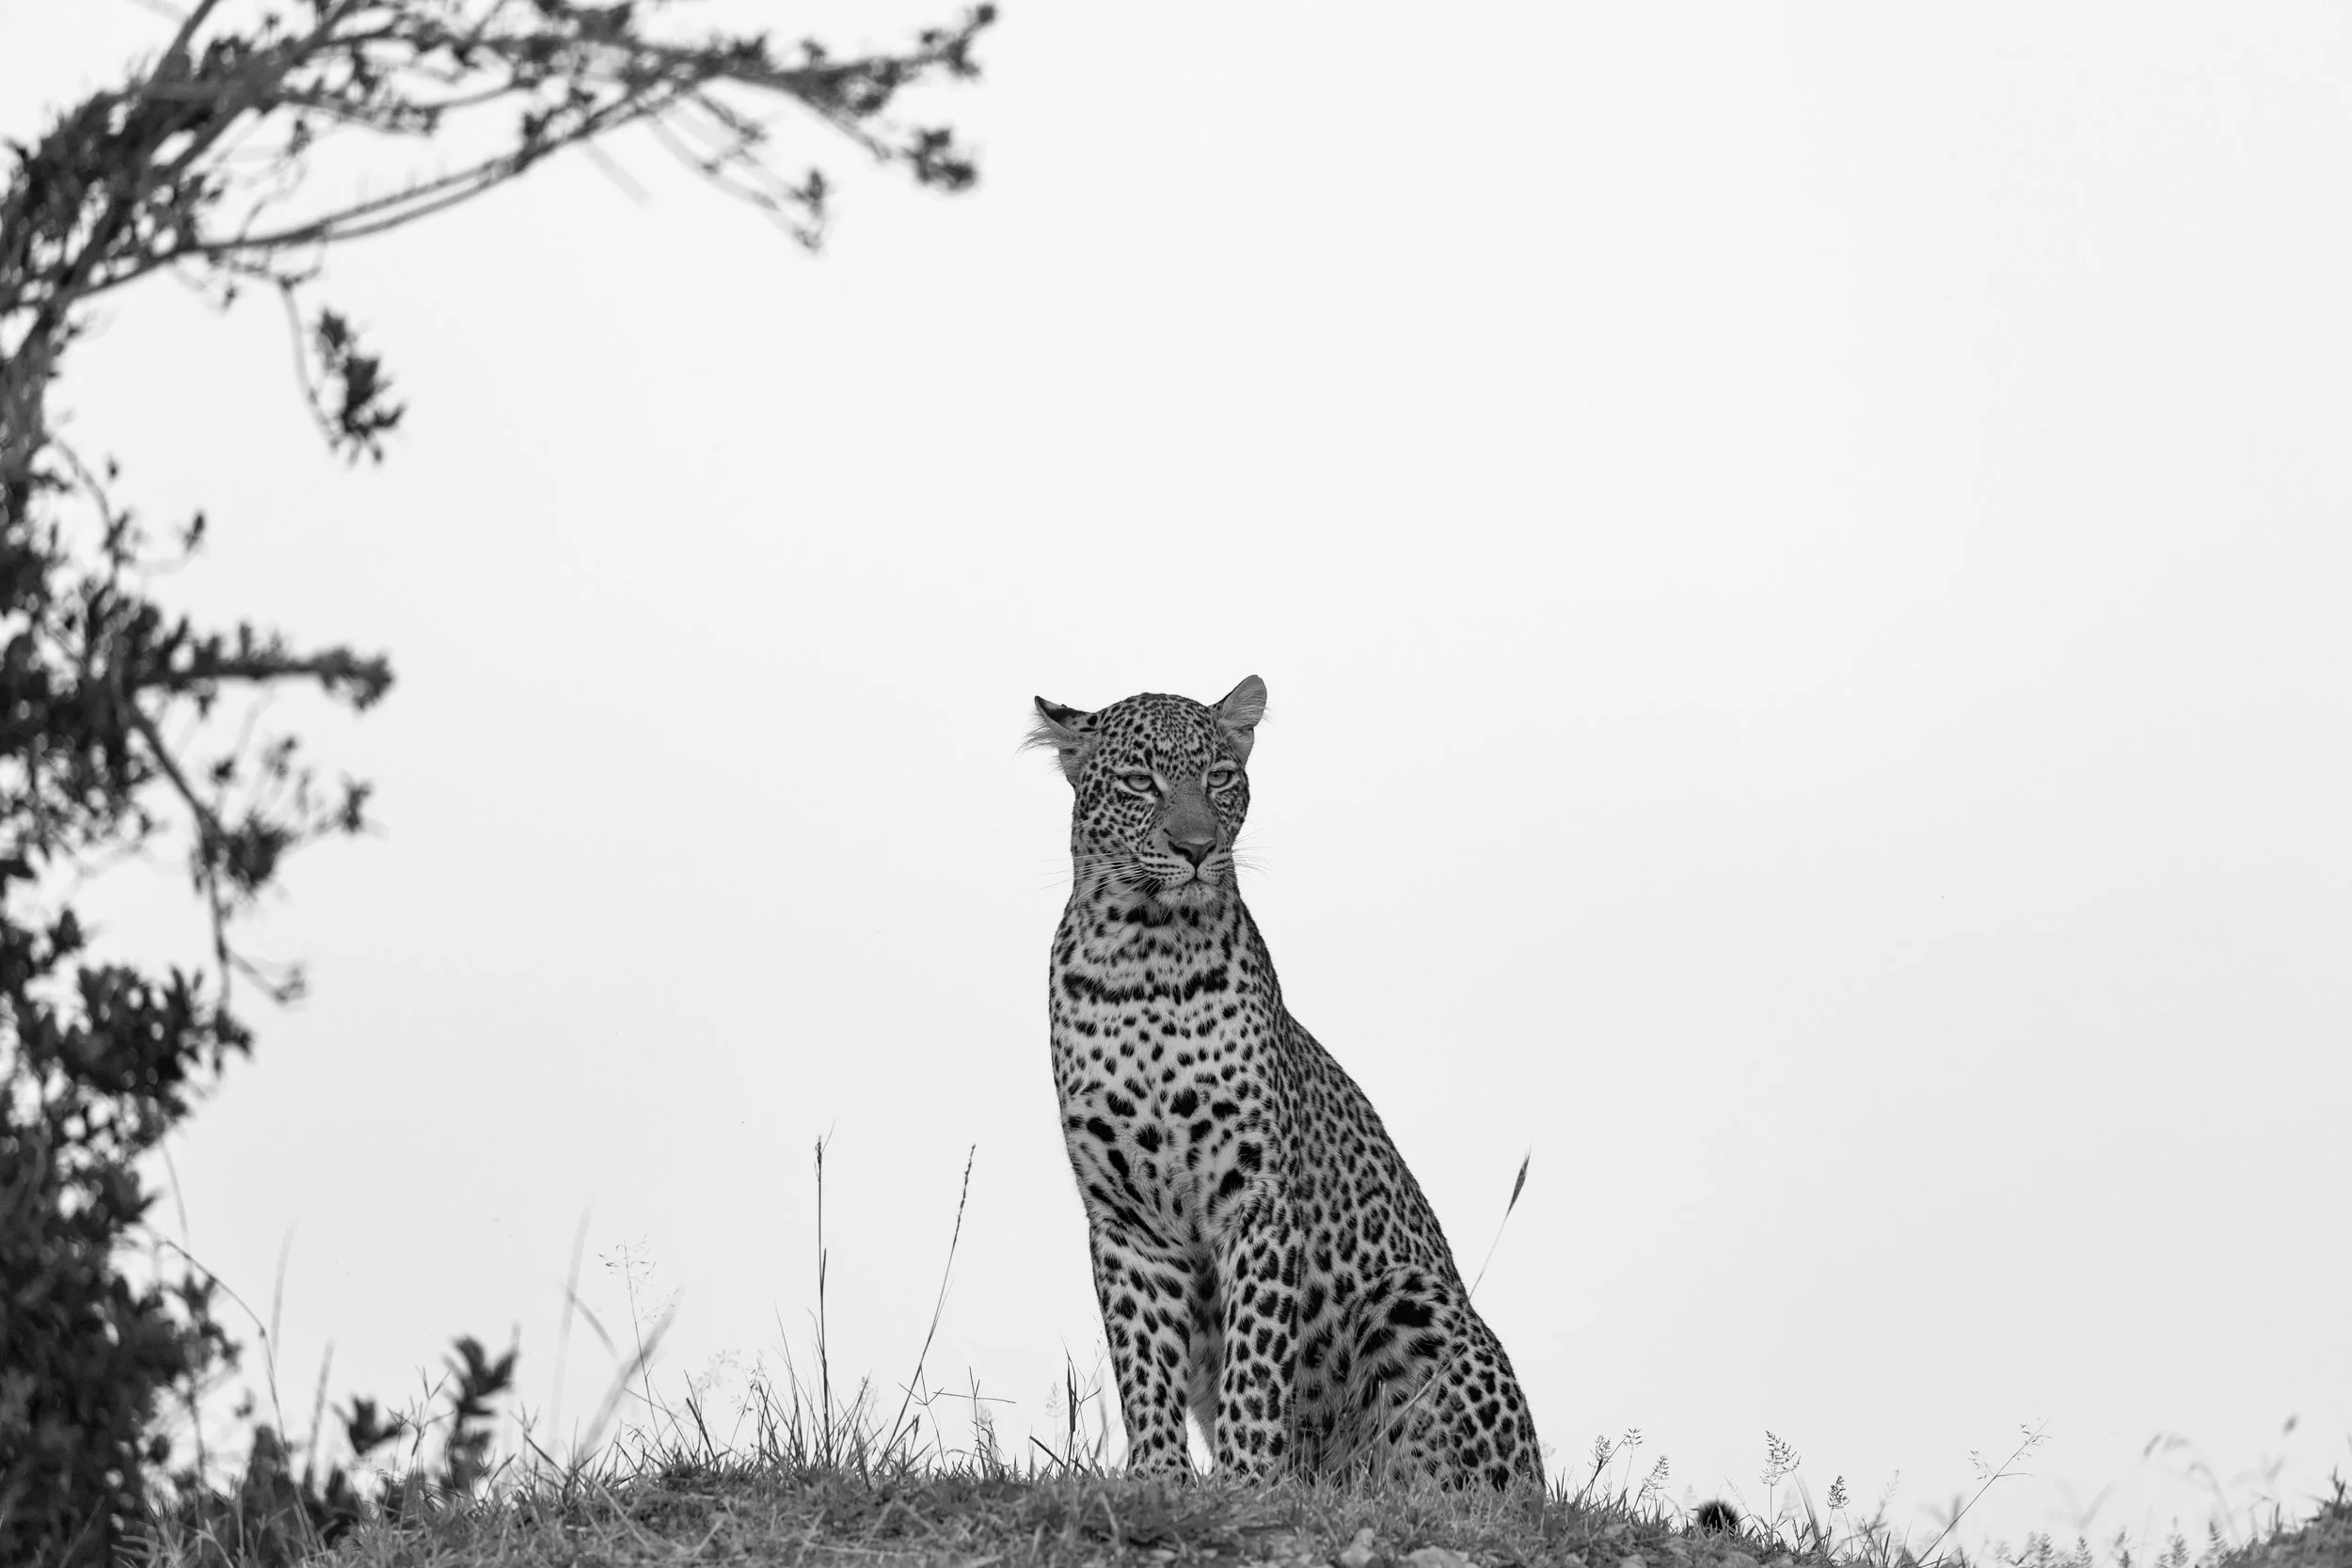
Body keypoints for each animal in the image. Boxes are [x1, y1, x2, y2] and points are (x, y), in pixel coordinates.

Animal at [1030, 675, 1543, 1489]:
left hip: (1411, 1297)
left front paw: (1247, 1479)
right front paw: (1159, 1476)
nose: (1198, 847)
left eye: (1219, 776)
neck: (1144, 957)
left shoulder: (1258, 1195)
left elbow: (1256, 1353)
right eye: (1141, 781)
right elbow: (1141, 1358)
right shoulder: (1125, 1216)